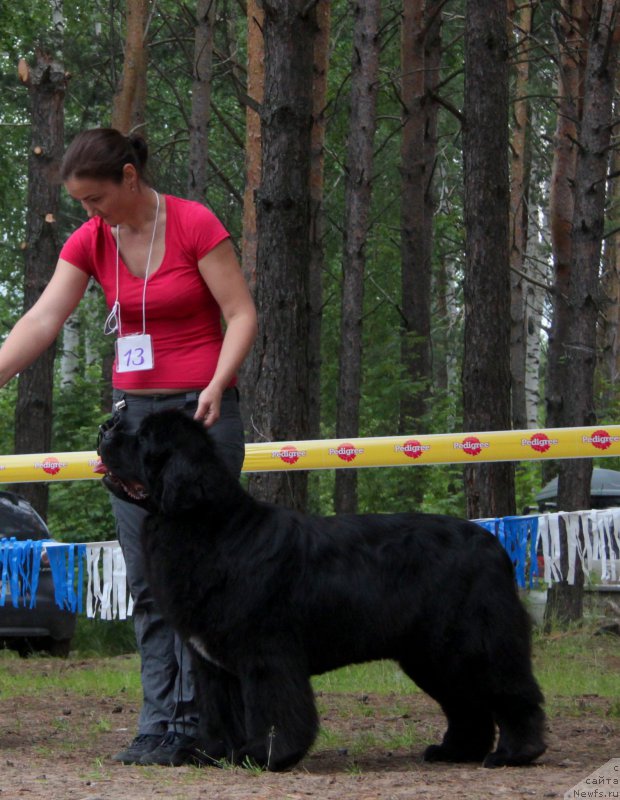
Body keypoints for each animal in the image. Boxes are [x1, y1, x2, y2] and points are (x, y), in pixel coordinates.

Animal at [94, 410, 544, 772]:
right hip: (431, 655)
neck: (208, 527)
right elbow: (219, 712)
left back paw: (515, 753)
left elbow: (274, 708)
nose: (106, 426)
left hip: (472, 642)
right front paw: (211, 753)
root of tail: (492, 543)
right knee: (467, 703)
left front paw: (267, 756)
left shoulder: (266, 653)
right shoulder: (211, 663)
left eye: (143, 439)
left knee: (512, 692)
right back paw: (455, 751)